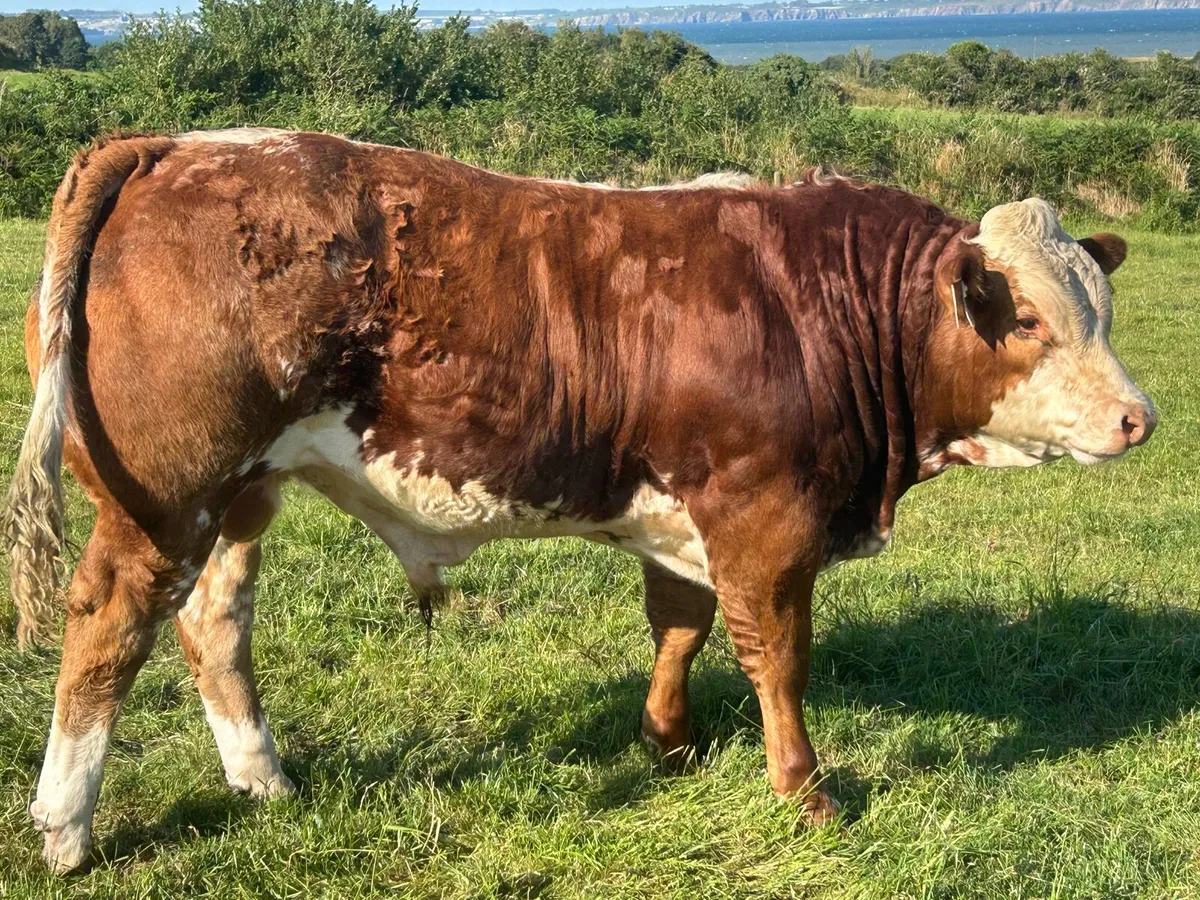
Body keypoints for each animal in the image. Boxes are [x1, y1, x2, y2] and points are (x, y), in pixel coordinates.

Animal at [5, 129, 1155, 873]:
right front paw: (805, 791)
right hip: (165, 495)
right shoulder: (766, 515)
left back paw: (264, 781)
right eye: (1030, 322)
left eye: (1099, 308)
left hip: (247, 488)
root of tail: (170, 143)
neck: (822, 304)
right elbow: (778, 656)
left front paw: (669, 743)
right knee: (108, 624)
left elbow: (682, 625)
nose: (1139, 418)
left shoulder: (684, 514)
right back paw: (66, 828)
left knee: (214, 620)